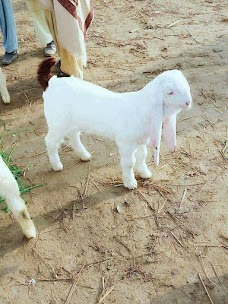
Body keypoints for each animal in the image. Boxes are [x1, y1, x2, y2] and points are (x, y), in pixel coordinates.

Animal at [41, 68, 191, 189]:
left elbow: (142, 156)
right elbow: (129, 163)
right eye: (170, 92)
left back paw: (84, 155)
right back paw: (57, 165)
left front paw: (145, 173)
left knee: (73, 135)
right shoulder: (126, 142)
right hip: (58, 121)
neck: (142, 108)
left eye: (187, 87)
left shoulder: (141, 140)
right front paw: (130, 183)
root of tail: (53, 83)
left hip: (72, 121)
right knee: (51, 141)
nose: (188, 102)